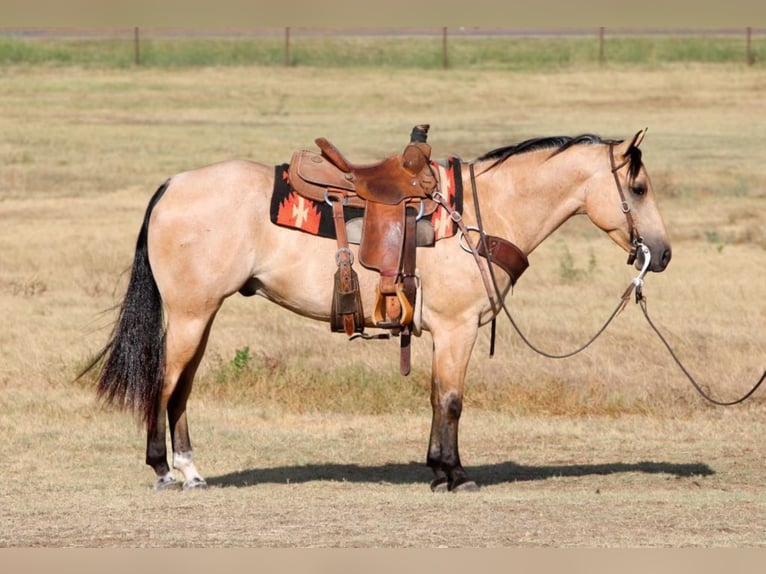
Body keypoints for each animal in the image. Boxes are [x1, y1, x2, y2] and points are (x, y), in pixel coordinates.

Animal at [85, 128, 672, 492]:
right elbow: (452, 401)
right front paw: (455, 475)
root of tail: (173, 185)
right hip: (189, 314)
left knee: (181, 388)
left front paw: (436, 469)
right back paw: (164, 469)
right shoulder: (457, 329)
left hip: (200, 317)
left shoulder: (443, 333)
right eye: (639, 187)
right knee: (164, 382)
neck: (481, 216)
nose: (662, 254)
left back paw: (190, 469)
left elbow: (436, 398)